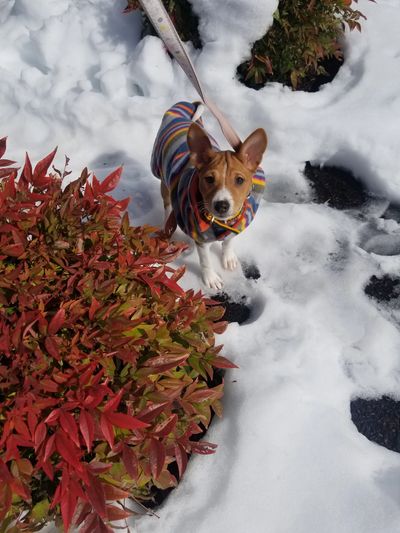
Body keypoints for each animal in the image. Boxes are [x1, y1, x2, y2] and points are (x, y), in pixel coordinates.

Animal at [152, 101, 268, 288]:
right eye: (209, 179)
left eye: (239, 180)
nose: (222, 205)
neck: (222, 222)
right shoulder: (200, 238)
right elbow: (205, 260)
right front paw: (210, 278)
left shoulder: (234, 226)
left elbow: (228, 241)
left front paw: (228, 257)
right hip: (164, 180)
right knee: (167, 206)